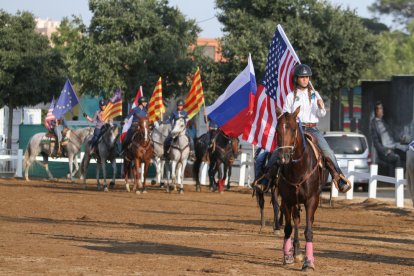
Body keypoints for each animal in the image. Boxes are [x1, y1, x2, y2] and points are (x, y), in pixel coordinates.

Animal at [274, 106, 328, 272]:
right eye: (277, 129)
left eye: (293, 129)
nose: (282, 158)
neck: (298, 169)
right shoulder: (287, 200)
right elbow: (288, 228)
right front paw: (288, 257)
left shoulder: (311, 200)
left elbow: (308, 231)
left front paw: (308, 262)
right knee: (295, 221)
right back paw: (296, 252)